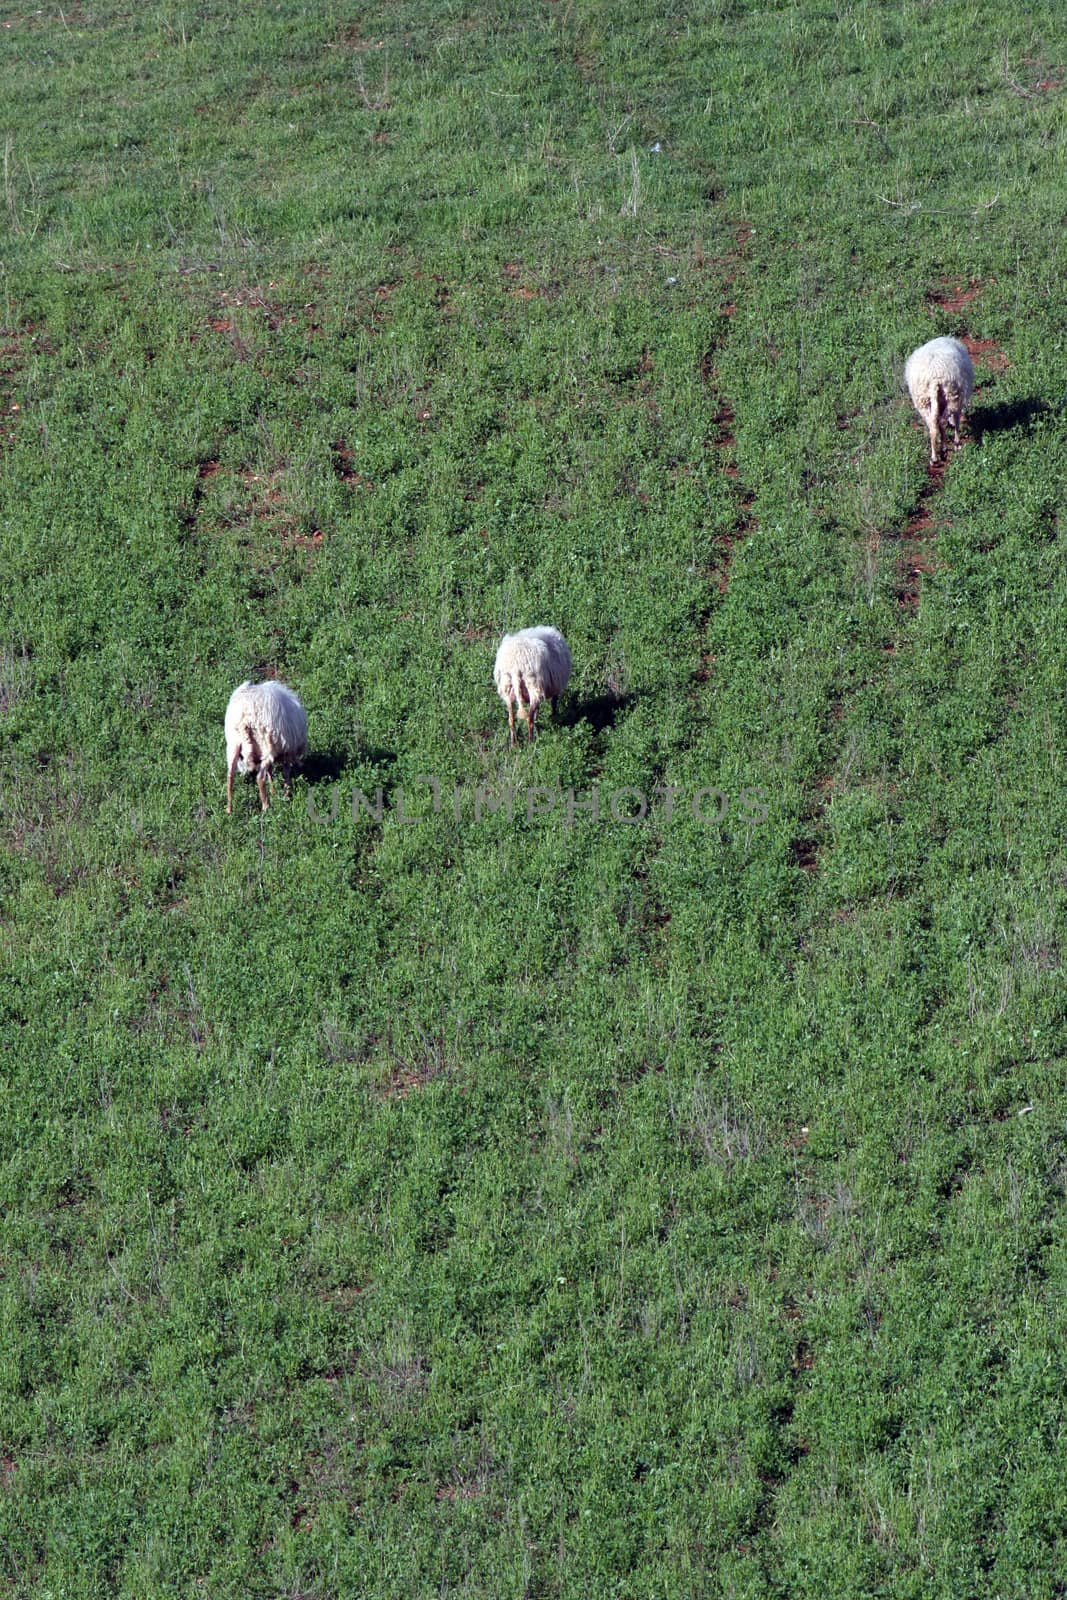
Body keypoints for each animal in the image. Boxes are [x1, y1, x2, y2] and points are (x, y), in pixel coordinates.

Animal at [223, 681, 308, 819]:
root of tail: (245, 715)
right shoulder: (286, 752)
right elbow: (285, 772)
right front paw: (286, 794)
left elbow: (271, 772)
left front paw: (274, 792)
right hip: (266, 745)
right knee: (260, 778)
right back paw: (266, 807)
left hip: (233, 743)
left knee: (230, 776)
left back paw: (229, 810)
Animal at [902, 334, 979, 464]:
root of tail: (934, 377)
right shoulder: (960, 399)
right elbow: (956, 419)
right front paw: (957, 443)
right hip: (952, 395)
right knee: (942, 421)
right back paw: (944, 449)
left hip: (923, 400)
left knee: (932, 425)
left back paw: (934, 457)